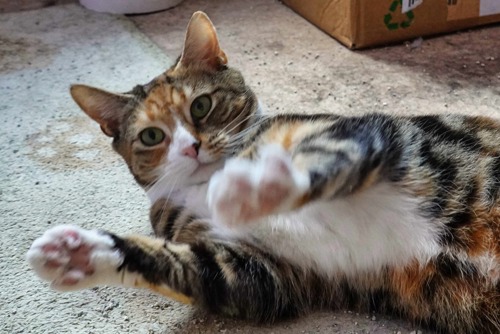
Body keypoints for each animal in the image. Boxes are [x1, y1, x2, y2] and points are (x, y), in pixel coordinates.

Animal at [26, 10, 500, 334]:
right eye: (151, 136)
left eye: (201, 105)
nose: (192, 147)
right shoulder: (264, 272)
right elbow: (199, 270)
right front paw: (82, 254)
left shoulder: (370, 132)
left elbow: (326, 153)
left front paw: (253, 188)